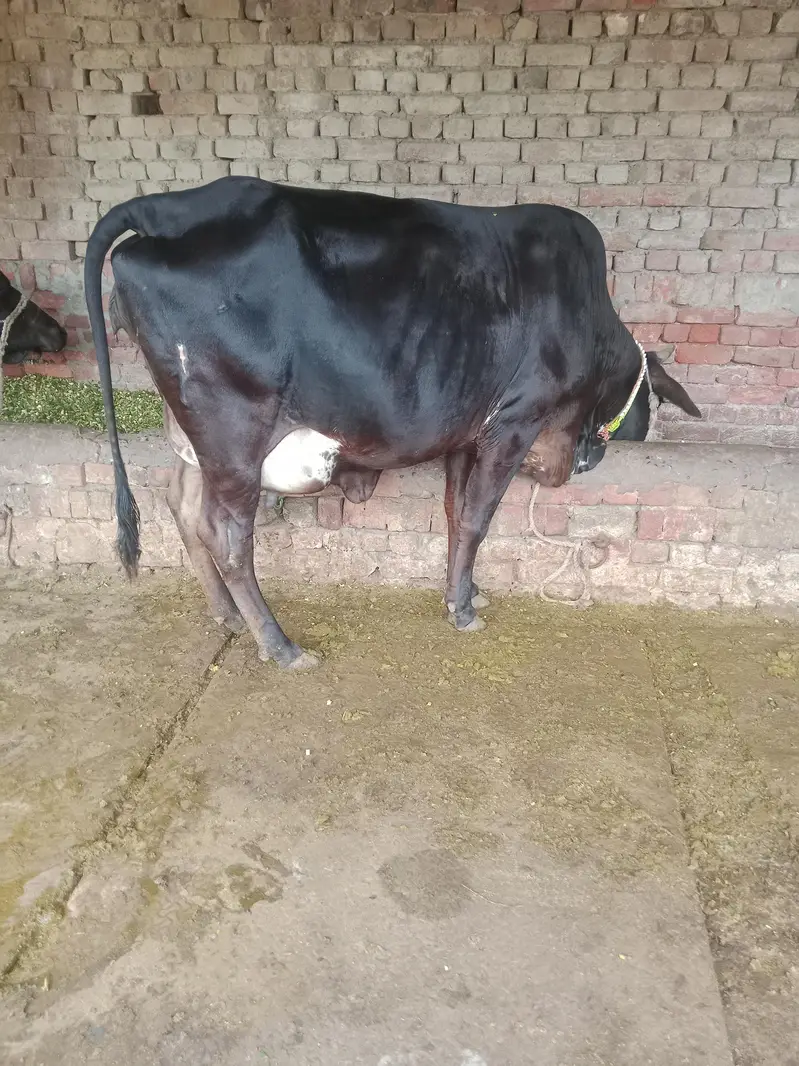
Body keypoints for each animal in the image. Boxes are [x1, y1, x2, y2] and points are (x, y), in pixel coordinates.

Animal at [84, 177, 700, 670]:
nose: (587, 460)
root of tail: (176, 204)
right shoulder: (514, 421)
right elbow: (477, 518)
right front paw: (462, 612)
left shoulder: (466, 432)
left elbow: (455, 512)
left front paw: (466, 591)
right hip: (234, 431)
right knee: (226, 535)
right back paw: (280, 646)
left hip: (194, 439)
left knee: (182, 505)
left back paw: (227, 616)